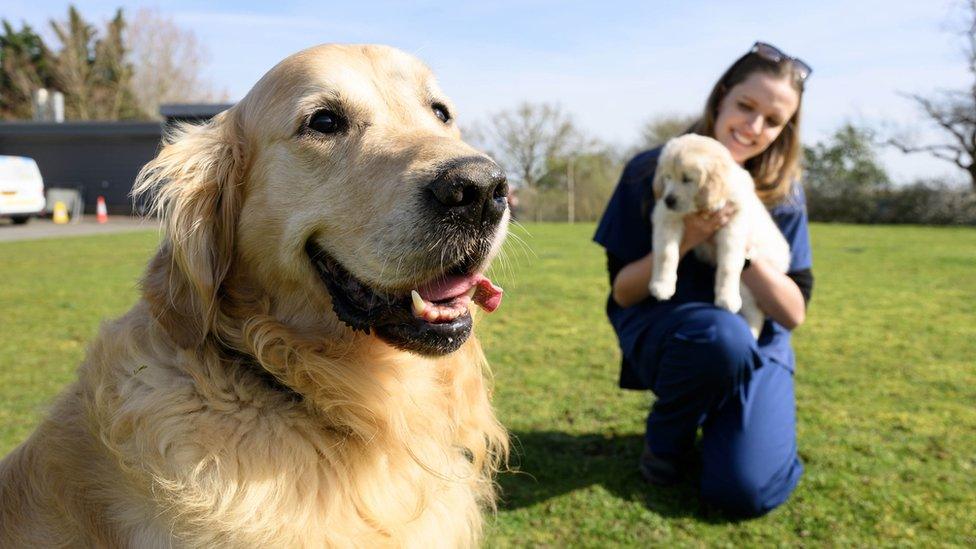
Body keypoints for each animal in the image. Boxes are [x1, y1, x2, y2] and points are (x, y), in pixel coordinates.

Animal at [648, 135, 792, 336]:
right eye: (667, 177)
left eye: (687, 179)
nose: (669, 200)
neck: (701, 207)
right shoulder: (666, 217)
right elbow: (666, 254)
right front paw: (662, 286)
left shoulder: (733, 226)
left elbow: (729, 265)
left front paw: (726, 299)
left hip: (749, 285)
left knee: (756, 314)